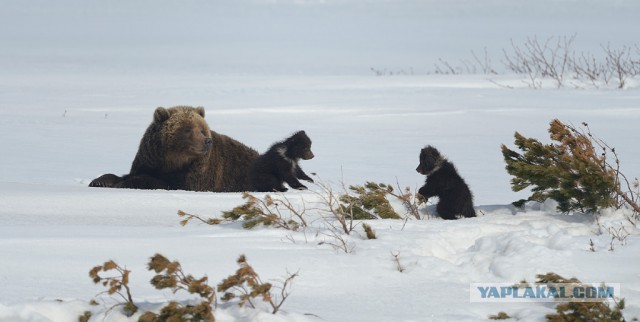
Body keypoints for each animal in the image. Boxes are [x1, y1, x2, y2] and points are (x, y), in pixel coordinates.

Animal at [89, 106, 258, 191]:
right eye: (188, 129)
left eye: (202, 129)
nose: (207, 141)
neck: (172, 161)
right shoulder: (149, 160)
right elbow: (128, 174)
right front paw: (99, 181)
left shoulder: (196, 175)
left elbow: (163, 183)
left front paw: (125, 183)